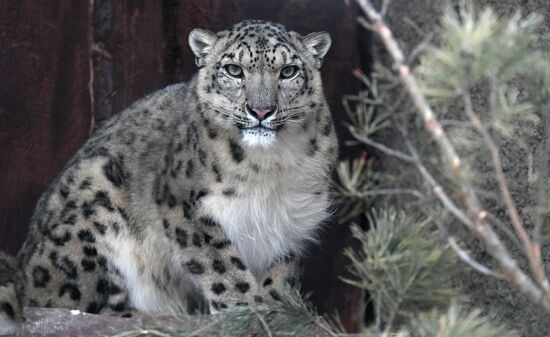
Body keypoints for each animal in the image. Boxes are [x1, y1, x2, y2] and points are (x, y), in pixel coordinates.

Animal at [0, 20, 336, 334]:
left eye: (289, 71)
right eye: (234, 70)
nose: (262, 110)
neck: (269, 168)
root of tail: (23, 266)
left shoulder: (293, 219)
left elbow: (280, 273)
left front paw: (279, 312)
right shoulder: (184, 207)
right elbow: (223, 267)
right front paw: (249, 311)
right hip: (93, 201)